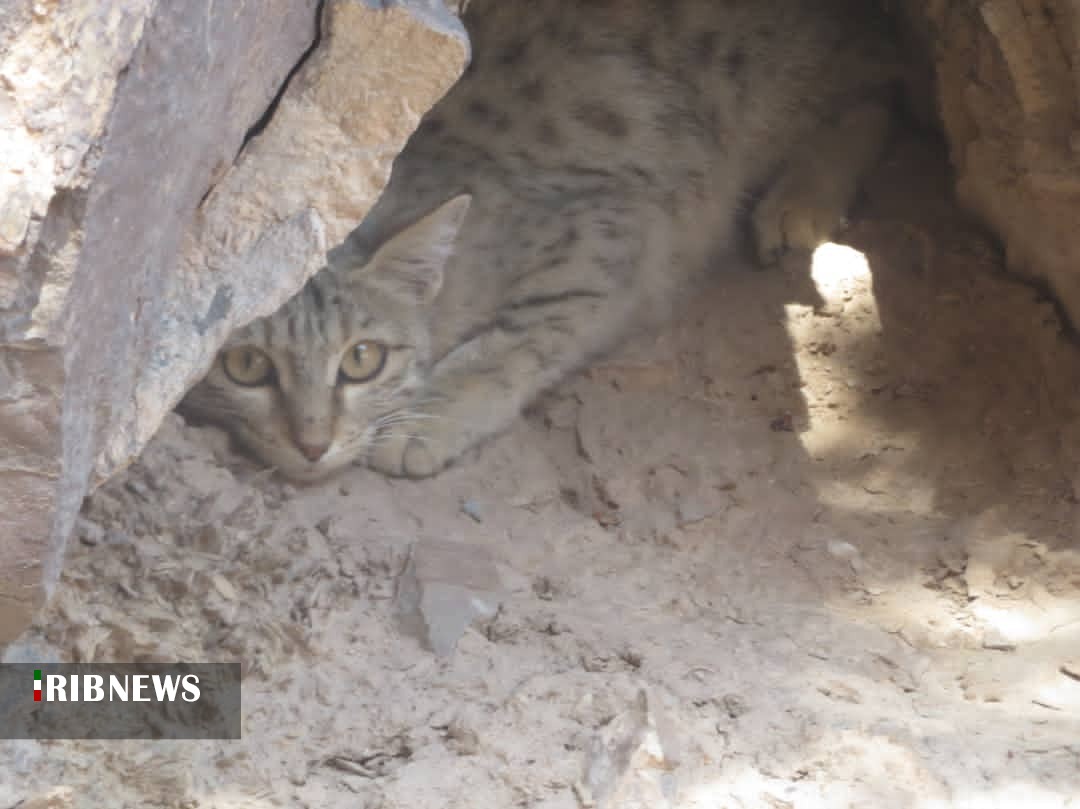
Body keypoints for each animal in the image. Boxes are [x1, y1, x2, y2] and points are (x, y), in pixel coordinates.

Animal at [183, 0, 902, 479]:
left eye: (362, 358)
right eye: (245, 366)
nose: (312, 444)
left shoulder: (618, 229)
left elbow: (526, 333)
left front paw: (434, 412)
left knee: (874, 84)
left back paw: (803, 197)